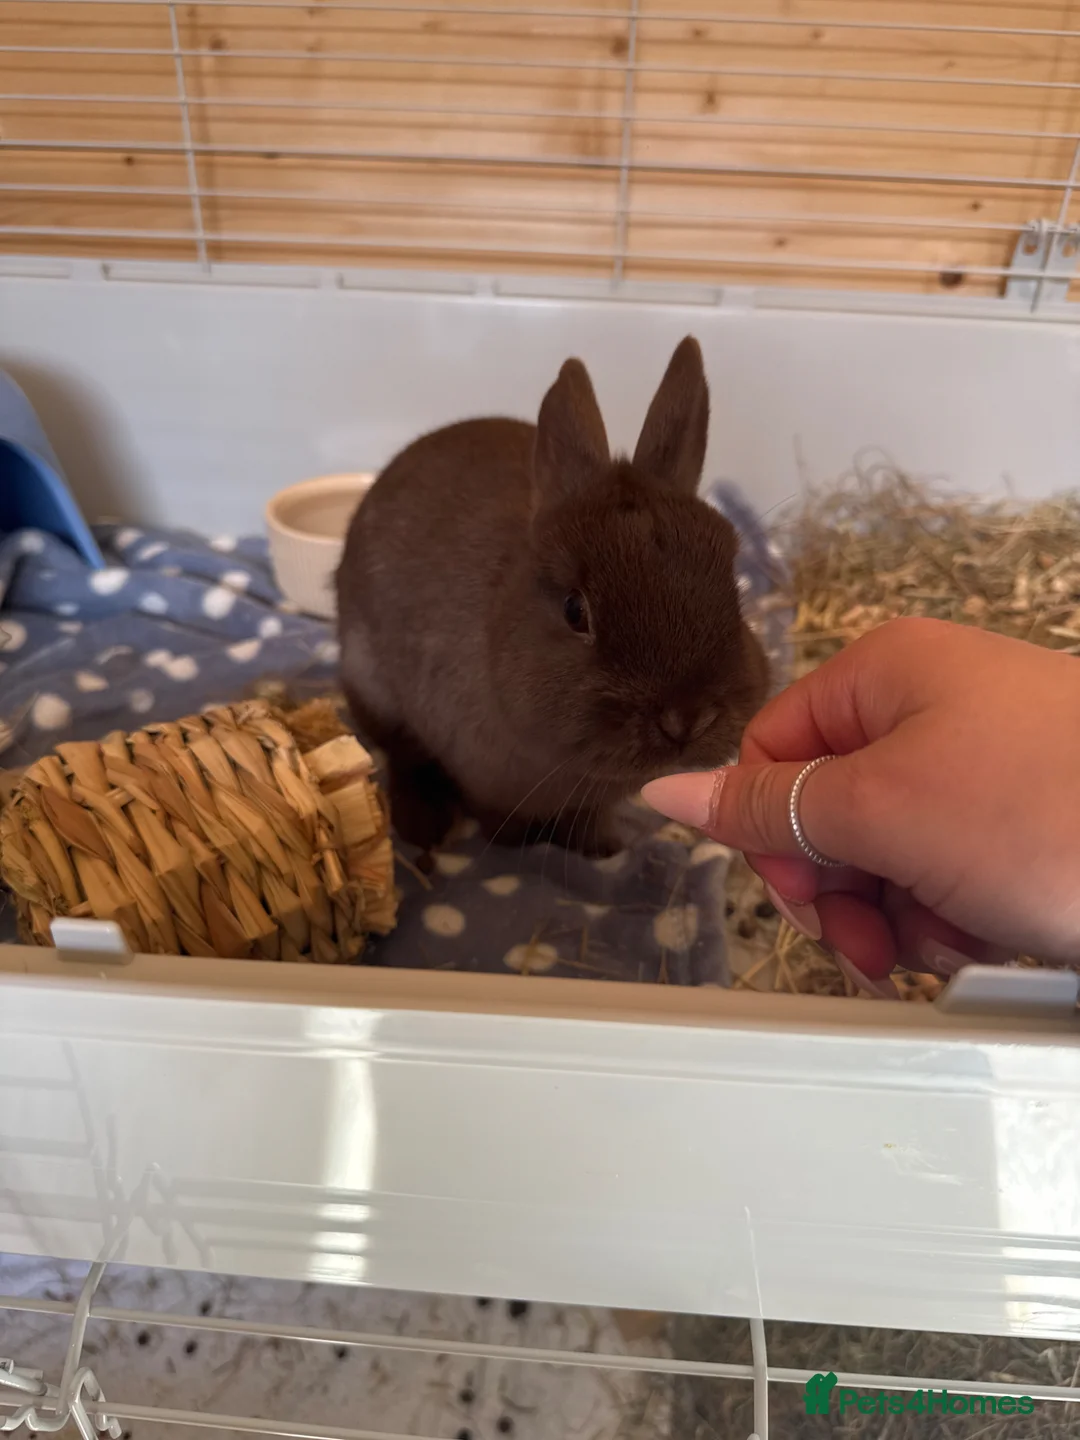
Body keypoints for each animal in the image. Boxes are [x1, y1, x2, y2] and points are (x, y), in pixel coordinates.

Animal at [336, 336, 769, 856]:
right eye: (575, 610)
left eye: (733, 583)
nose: (687, 718)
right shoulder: (484, 783)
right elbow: (494, 815)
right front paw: (516, 848)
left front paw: (602, 850)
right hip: (371, 682)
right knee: (400, 753)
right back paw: (424, 827)